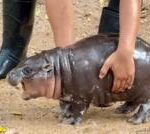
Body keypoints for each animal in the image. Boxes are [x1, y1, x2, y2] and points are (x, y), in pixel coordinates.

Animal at [7, 34, 150, 124]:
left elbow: (78, 110)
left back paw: (134, 121)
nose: (9, 74)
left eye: (28, 70)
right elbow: (64, 105)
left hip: (144, 92)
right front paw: (61, 115)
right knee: (133, 102)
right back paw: (121, 110)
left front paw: (69, 121)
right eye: (22, 61)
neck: (57, 68)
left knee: (144, 106)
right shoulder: (65, 95)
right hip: (132, 90)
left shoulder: (81, 97)